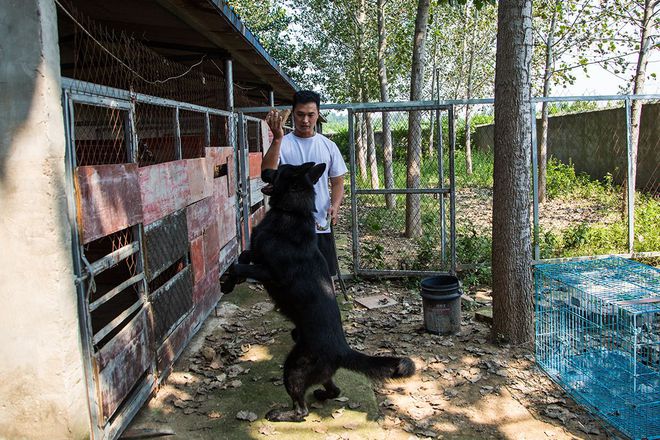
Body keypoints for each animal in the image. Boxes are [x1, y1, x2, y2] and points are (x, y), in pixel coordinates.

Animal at [224, 162, 416, 422]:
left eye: (278, 170)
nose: (263, 170)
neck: (293, 212)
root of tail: (343, 350)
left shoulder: (270, 271)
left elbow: (238, 264)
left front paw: (229, 278)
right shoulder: (256, 254)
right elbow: (243, 256)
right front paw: (228, 282)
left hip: (294, 368)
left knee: (301, 410)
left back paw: (281, 414)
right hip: (314, 368)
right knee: (335, 390)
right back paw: (322, 395)